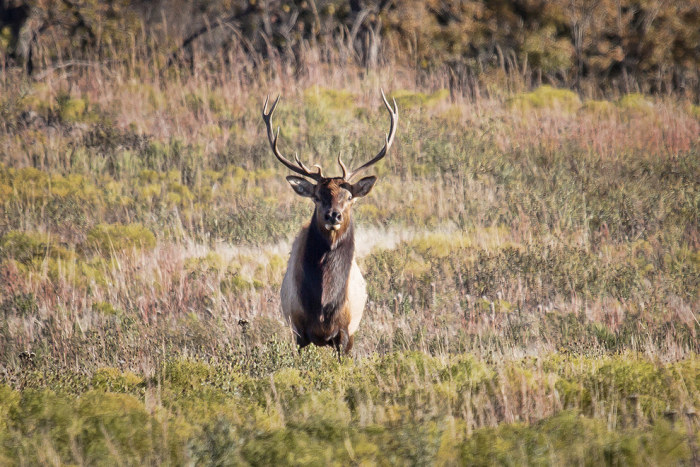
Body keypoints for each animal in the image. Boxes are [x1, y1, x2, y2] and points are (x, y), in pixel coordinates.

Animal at [262, 93, 396, 360]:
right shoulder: (298, 329)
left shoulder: (345, 332)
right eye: (317, 196)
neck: (323, 304)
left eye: (349, 197)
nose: (333, 215)